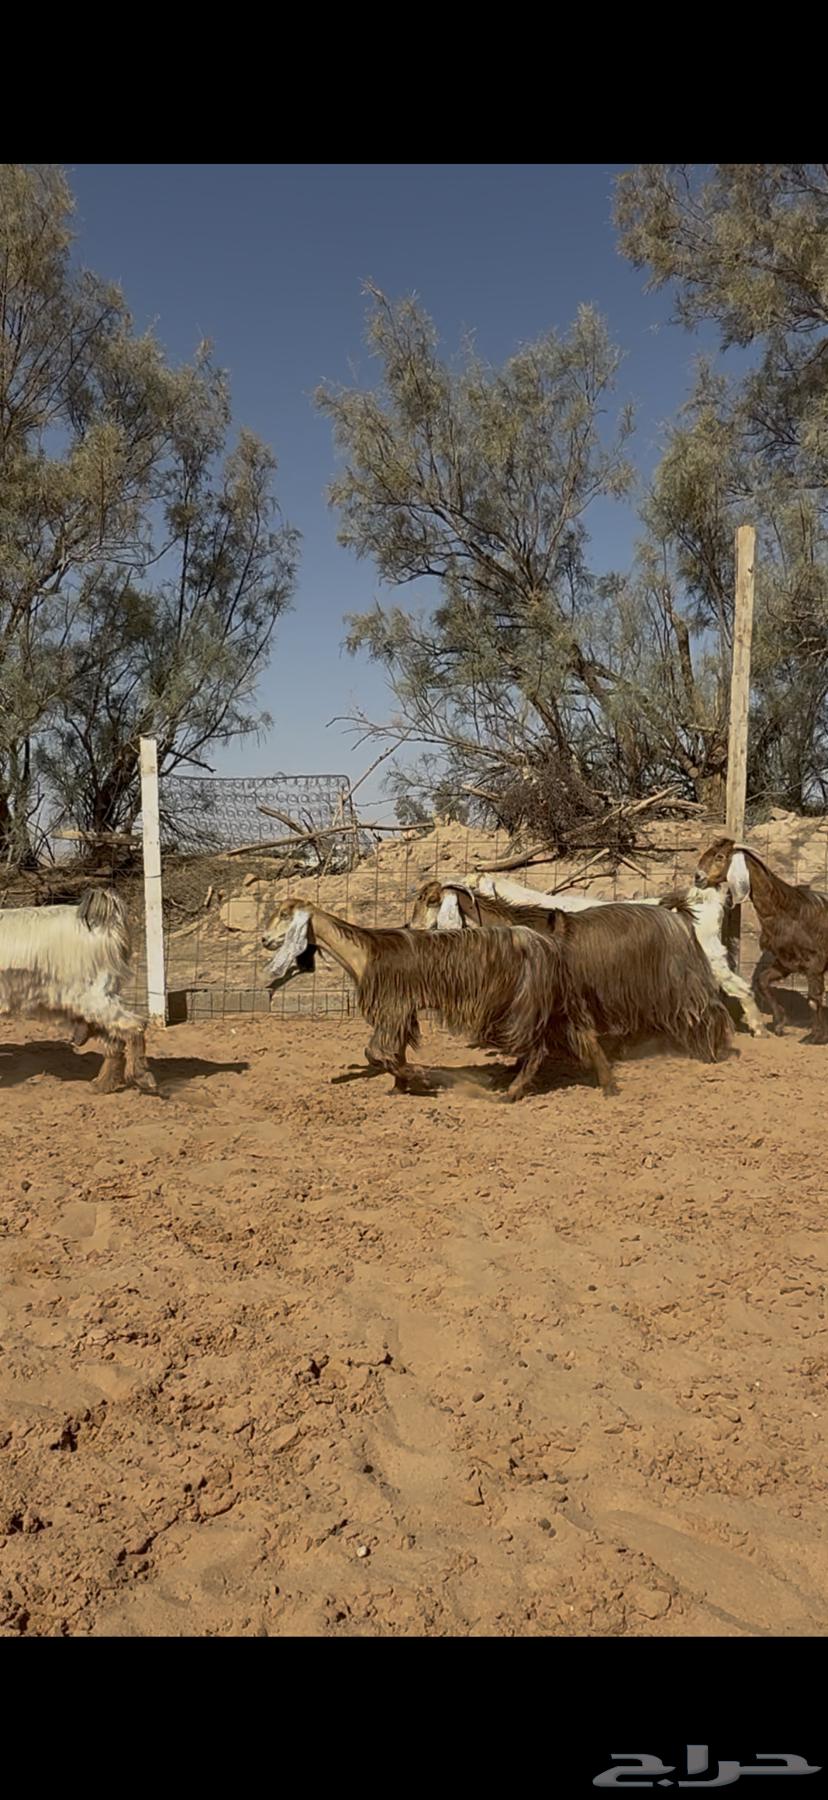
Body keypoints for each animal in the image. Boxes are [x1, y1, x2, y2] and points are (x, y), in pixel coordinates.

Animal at [263, 895, 731, 1101]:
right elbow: (386, 1053)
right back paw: (607, 1085)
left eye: (283, 914)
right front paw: (402, 1086)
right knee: (582, 1039)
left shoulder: (394, 1008)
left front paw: (421, 1079)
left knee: (539, 1048)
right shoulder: (399, 1012)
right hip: (555, 1004)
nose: (266, 941)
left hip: (532, 1004)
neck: (367, 950)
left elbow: (378, 1051)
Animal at [695, 837, 828, 1043]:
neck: (788, 911)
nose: (698, 877)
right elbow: (762, 982)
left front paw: (816, 1036)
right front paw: (780, 1023)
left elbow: (814, 999)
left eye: (720, 857)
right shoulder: (786, 962)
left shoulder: (815, 963)